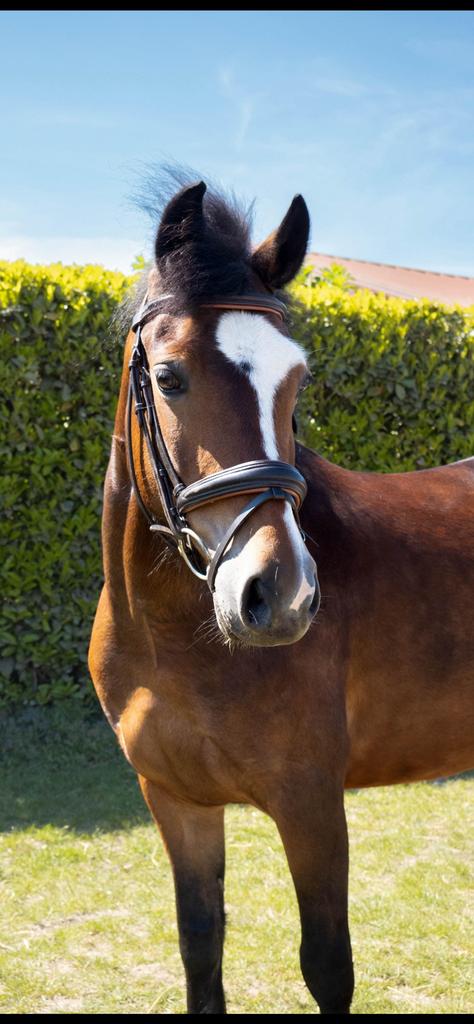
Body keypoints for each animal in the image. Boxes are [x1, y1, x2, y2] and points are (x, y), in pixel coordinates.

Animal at [89, 176, 474, 1014]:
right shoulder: (177, 801)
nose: (282, 596)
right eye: (169, 377)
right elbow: (201, 951)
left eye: (295, 382)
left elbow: (327, 966)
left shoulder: (311, 802)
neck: (170, 638)